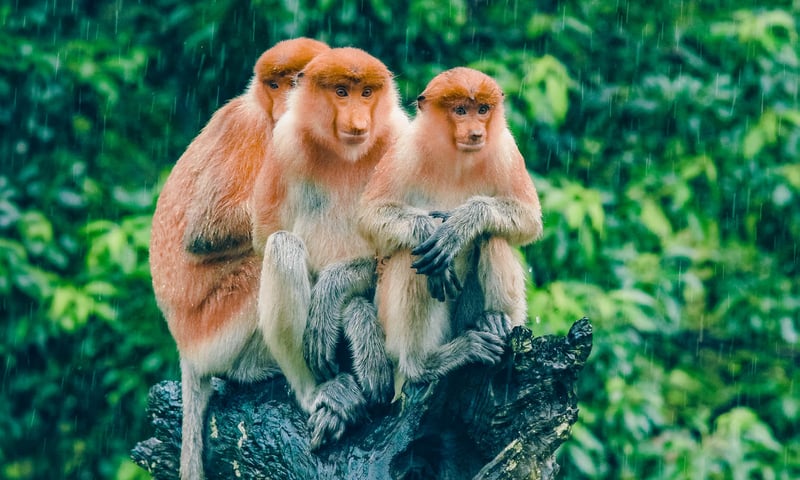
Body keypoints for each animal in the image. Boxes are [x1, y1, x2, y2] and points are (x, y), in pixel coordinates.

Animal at [149, 38, 330, 480]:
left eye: (298, 81)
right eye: (276, 83)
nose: (284, 102)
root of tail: (183, 345)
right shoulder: (248, 127)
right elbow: (205, 230)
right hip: (215, 326)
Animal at [250, 47, 409, 449]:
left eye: (366, 93)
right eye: (341, 92)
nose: (358, 120)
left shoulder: (401, 138)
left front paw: (337, 298)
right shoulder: (284, 142)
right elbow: (265, 234)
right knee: (283, 246)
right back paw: (323, 395)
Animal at [357, 66, 543, 392]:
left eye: (482, 110)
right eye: (460, 111)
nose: (476, 133)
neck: (457, 157)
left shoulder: (505, 148)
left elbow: (529, 218)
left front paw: (459, 225)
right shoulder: (404, 149)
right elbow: (370, 215)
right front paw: (426, 230)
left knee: (492, 235)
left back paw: (494, 321)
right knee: (413, 257)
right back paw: (425, 363)